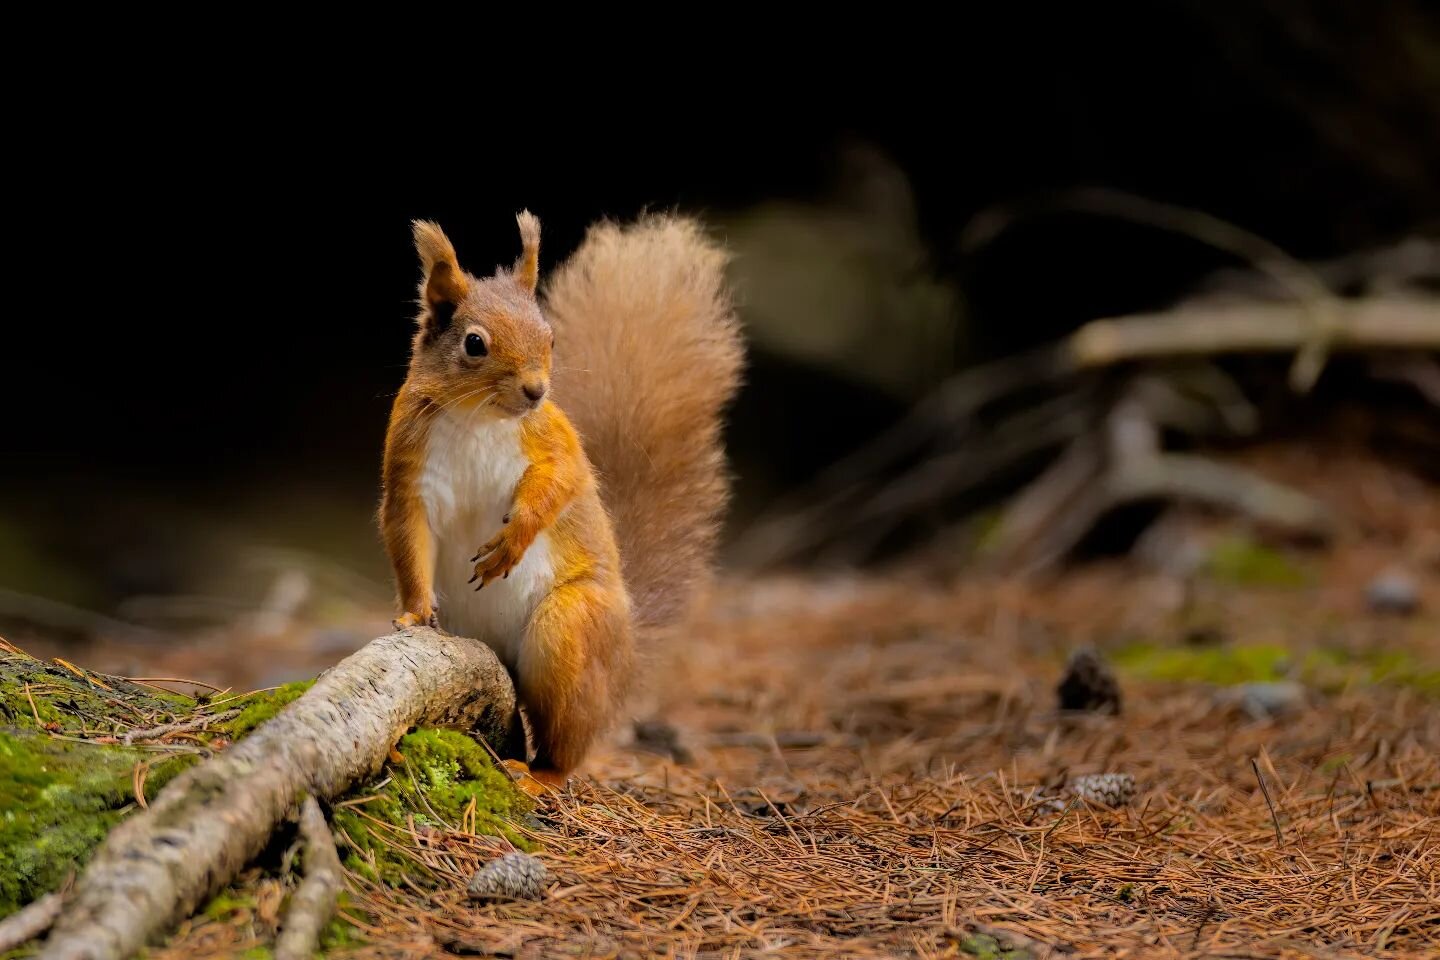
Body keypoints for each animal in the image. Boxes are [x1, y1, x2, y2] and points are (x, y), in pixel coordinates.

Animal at [383, 211, 743, 788]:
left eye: (550, 338)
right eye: (474, 343)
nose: (536, 390)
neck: (478, 417)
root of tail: (624, 659)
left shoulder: (554, 440)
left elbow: (561, 483)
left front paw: (513, 541)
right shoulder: (407, 469)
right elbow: (408, 538)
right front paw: (414, 614)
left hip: (567, 631)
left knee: (565, 742)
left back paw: (540, 776)